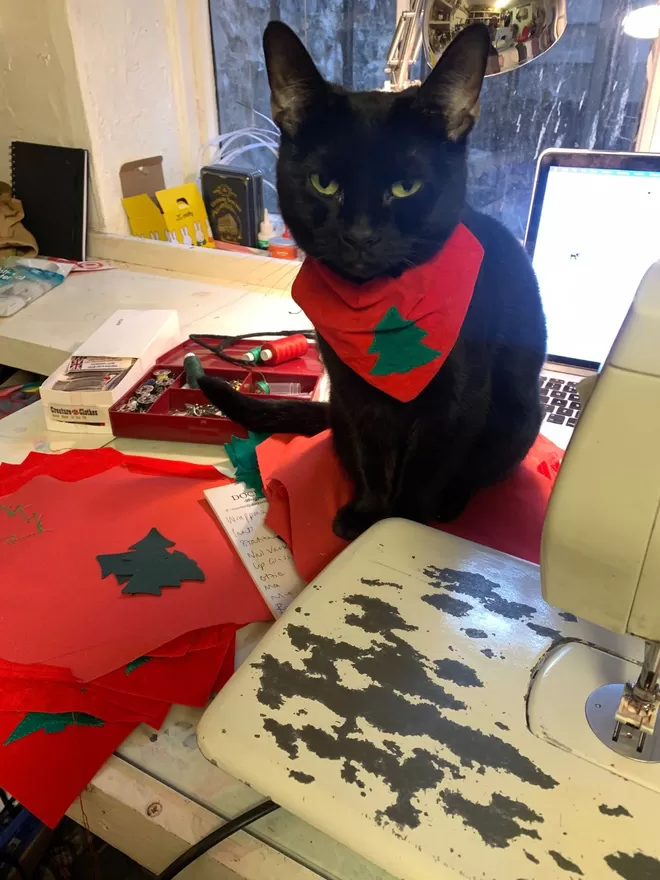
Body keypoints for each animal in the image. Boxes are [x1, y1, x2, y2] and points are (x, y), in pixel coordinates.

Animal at [200, 20, 548, 540]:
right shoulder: (352, 390)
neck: (383, 307)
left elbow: (425, 470)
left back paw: (451, 505)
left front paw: (403, 524)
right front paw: (367, 515)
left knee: (478, 472)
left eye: (406, 187)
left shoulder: (454, 403)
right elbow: (372, 455)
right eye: (324, 184)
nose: (360, 235)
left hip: (519, 415)